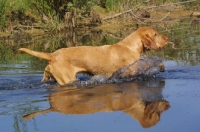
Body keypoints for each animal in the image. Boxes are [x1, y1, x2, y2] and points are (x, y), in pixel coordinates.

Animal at [19, 27, 168, 84]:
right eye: (155, 34)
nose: (167, 38)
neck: (130, 46)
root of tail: (52, 55)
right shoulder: (131, 69)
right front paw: (160, 66)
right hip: (67, 79)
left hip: (48, 77)